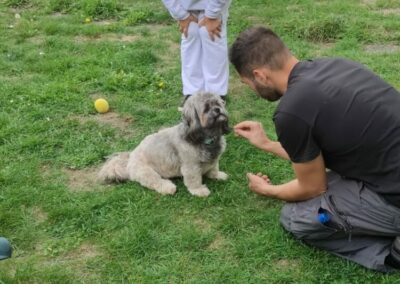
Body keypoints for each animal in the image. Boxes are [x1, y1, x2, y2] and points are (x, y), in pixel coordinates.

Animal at [98, 93, 230, 197]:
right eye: (206, 108)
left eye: (218, 103)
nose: (218, 109)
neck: (205, 138)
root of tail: (129, 160)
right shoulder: (190, 166)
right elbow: (194, 180)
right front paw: (199, 190)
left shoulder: (214, 159)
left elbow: (214, 168)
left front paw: (217, 175)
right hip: (146, 172)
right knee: (155, 181)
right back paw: (167, 187)